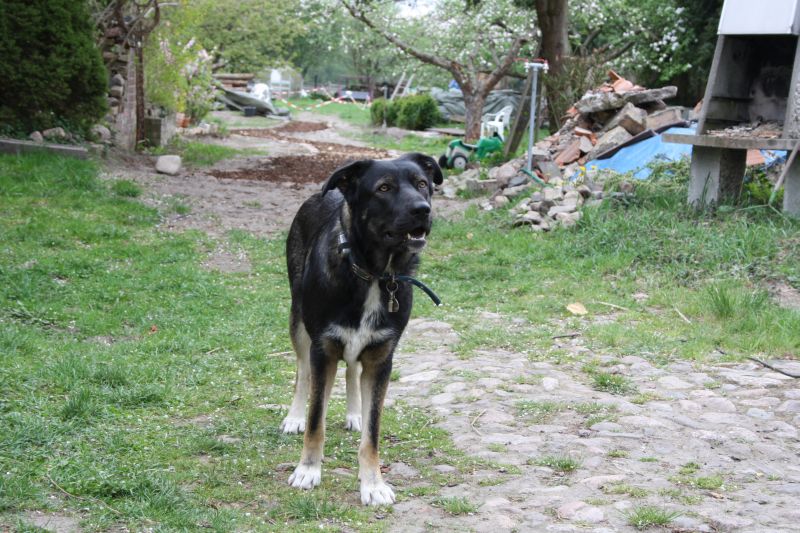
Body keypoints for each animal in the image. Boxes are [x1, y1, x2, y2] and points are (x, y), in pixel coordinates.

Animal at [282, 152, 443, 505]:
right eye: (384, 188)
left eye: (422, 184)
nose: (423, 209)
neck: (374, 273)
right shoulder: (323, 350)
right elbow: (316, 420)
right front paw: (308, 470)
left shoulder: (381, 358)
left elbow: (373, 432)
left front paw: (373, 483)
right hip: (299, 320)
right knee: (302, 371)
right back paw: (294, 416)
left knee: (352, 371)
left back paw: (354, 412)